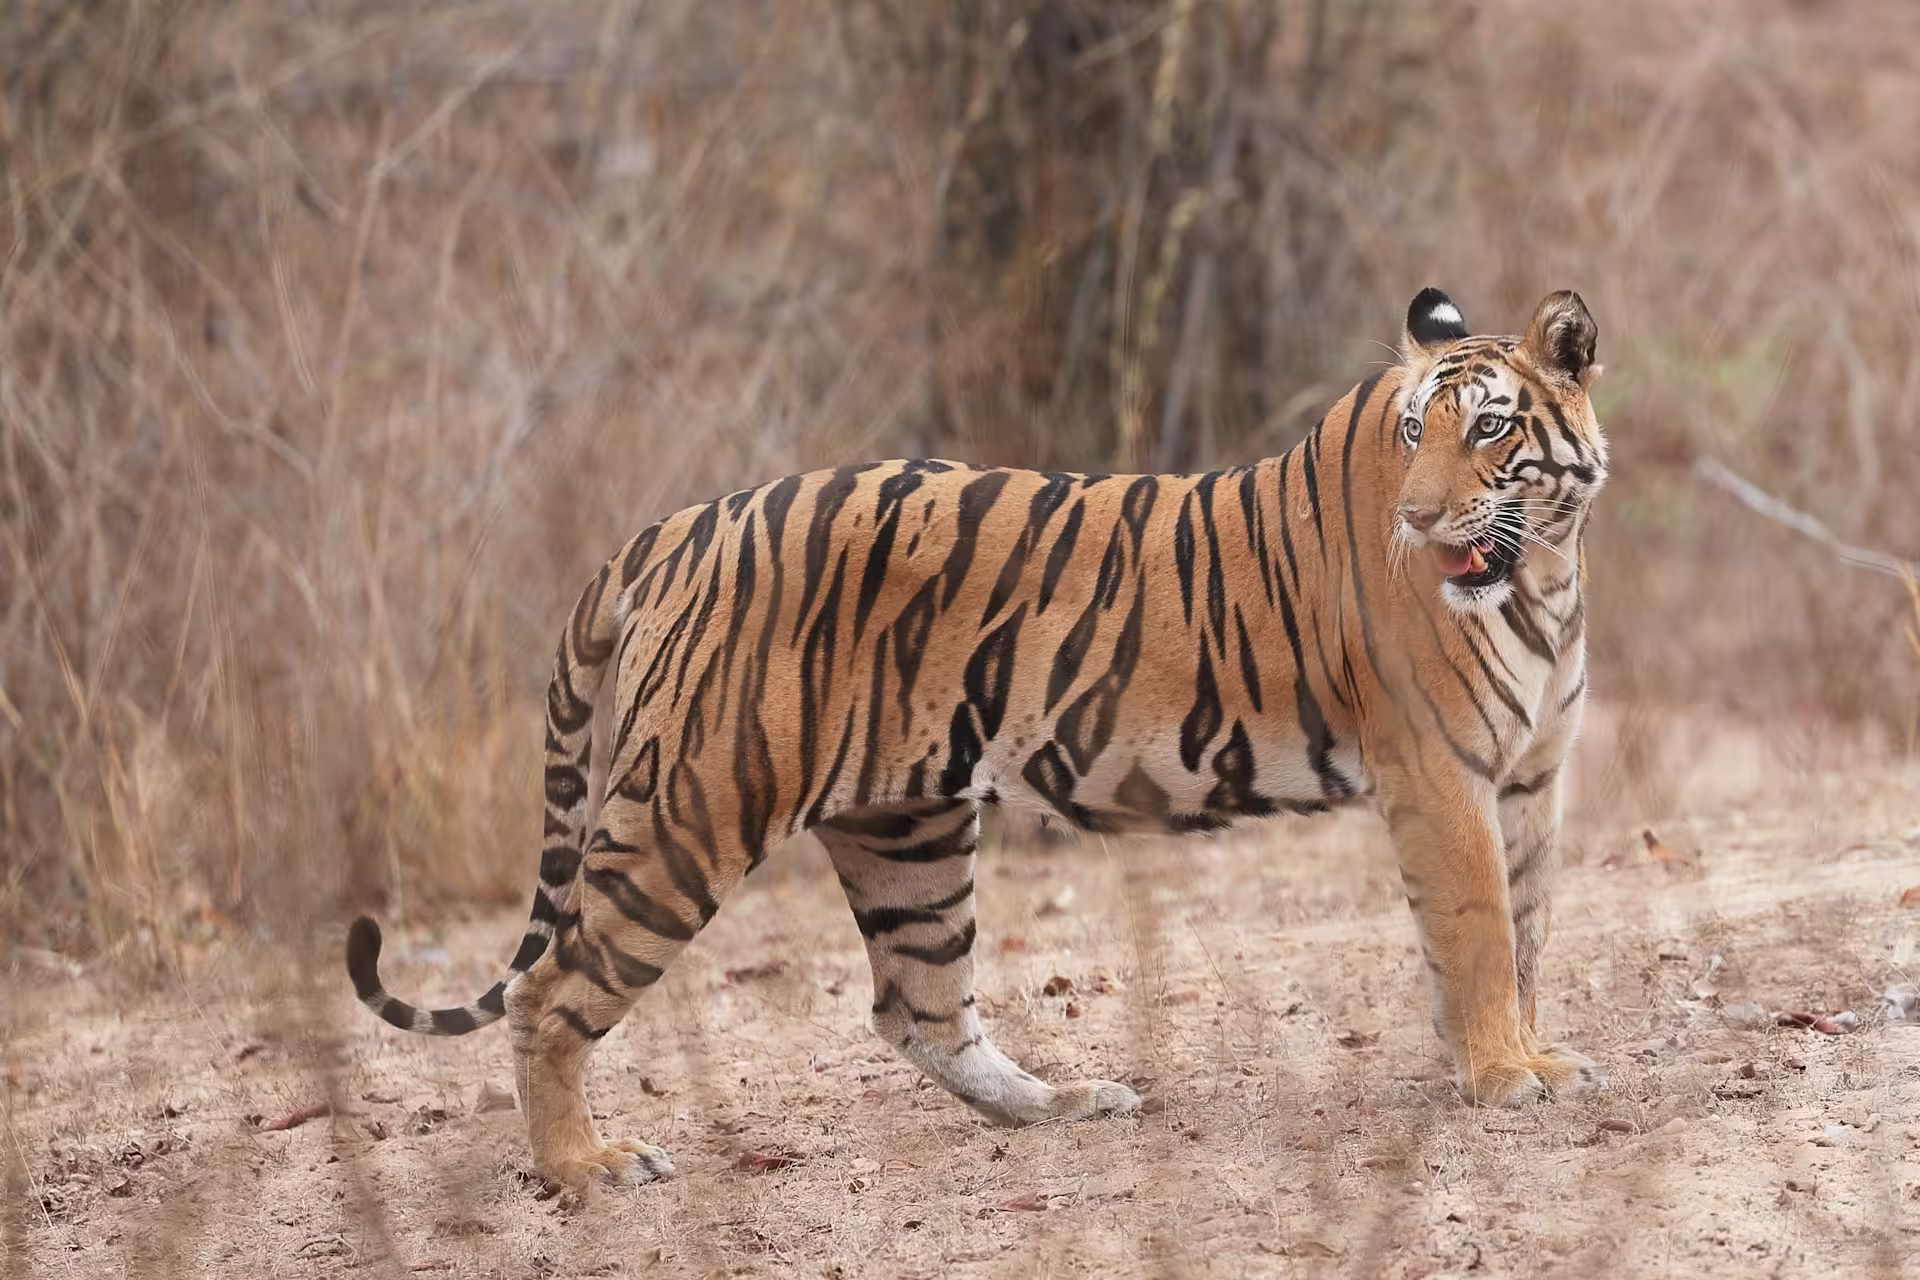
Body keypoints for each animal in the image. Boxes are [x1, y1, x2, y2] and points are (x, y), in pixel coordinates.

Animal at [347, 287, 1609, 1191]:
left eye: (1488, 429)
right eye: (1415, 433)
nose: (1416, 518)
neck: (1543, 568)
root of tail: (681, 523)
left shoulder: (1533, 777)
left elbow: (1530, 924)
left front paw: (1528, 1054)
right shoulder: (1440, 774)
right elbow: (1481, 929)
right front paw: (1504, 1073)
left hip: (903, 827)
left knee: (917, 1006)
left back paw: (1064, 1103)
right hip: (684, 815)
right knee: (546, 989)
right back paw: (585, 1165)